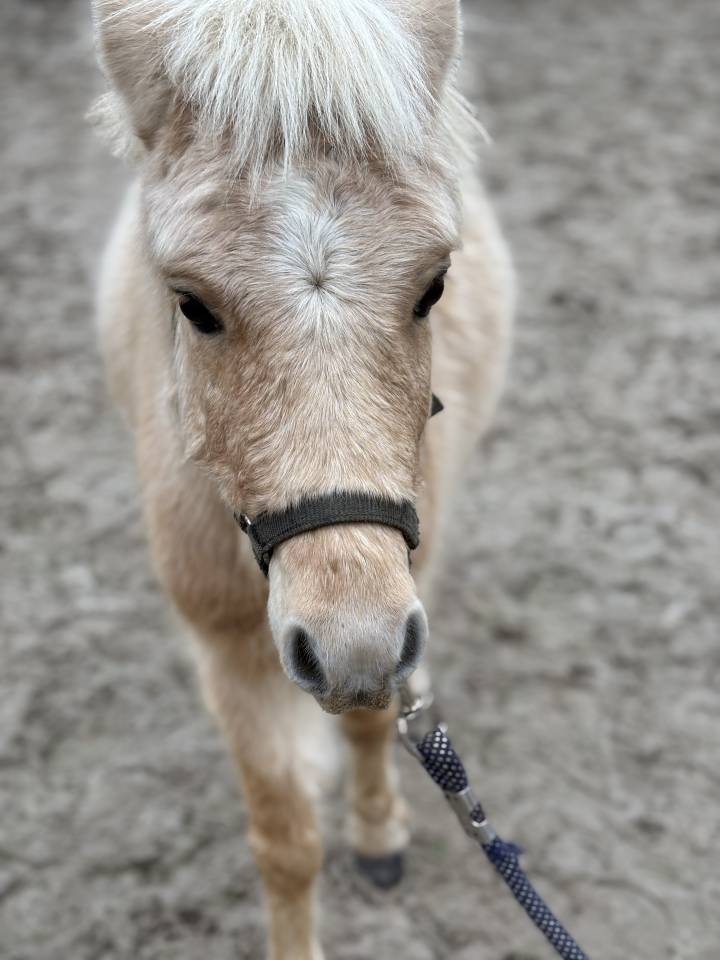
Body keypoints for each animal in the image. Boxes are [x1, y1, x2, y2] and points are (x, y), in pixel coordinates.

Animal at [91, 1, 514, 956]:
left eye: (433, 286)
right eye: (192, 304)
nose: (351, 640)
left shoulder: (398, 606)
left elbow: (372, 720)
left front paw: (379, 834)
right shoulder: (227, 654)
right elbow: (283, 841)